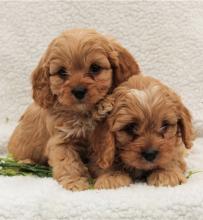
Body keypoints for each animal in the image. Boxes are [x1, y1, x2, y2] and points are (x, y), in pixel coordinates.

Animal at [7, 28, 140, 191]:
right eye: (62, 72)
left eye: (95, 68)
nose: (78, 91)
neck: (83, 113)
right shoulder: (61, 140)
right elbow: (68, 163)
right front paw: (74, 181)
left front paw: (112, 177)